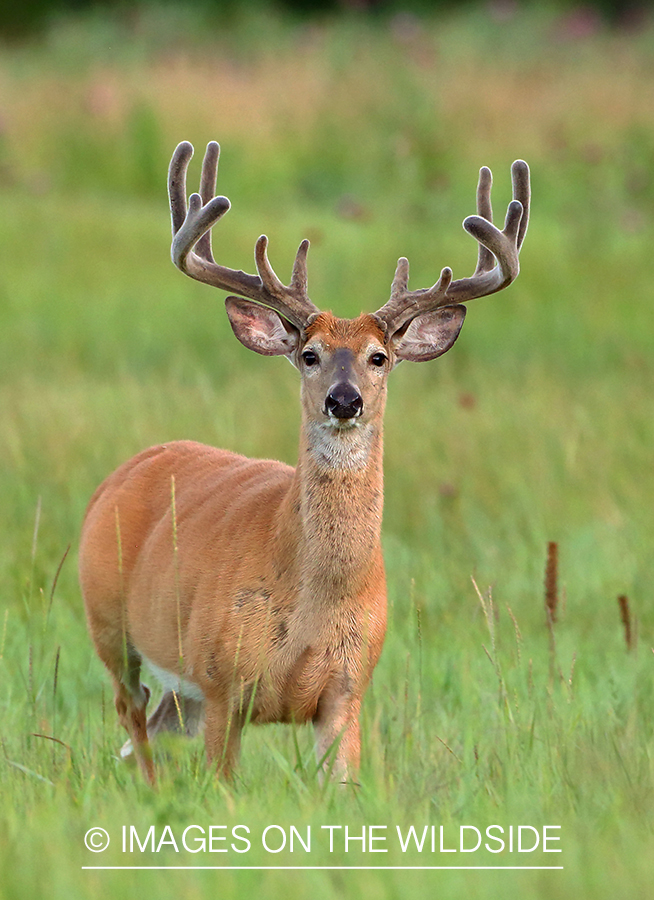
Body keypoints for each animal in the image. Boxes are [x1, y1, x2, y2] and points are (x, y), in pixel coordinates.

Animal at [79, 141, 532, 788]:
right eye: (309, 354)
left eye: (379, 356)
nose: (344, 400)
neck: (311, 601)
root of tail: (121, 473)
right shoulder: (222, 681)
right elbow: (224, 786)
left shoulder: (348, 690)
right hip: (110, 625)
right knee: (131, 711)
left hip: (181, 688)